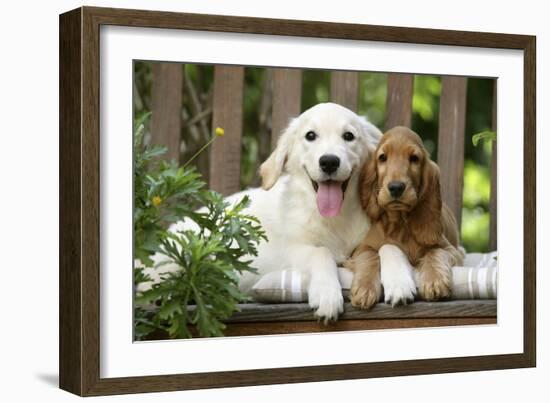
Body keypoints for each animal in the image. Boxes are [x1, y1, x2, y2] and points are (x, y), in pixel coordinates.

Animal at [350, 126, 466, 310]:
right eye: (382, 157)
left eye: (414, 158)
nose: (396, 187)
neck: (400, 224)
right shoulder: (361, 249)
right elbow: (369, 257)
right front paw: (364, 288)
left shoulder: (451, 250)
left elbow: (435, 252)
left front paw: (435, 281)